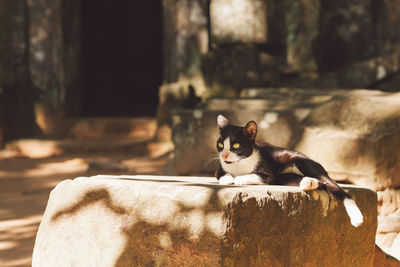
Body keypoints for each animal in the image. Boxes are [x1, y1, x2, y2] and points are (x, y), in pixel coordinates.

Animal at [214, 115, 364, 228]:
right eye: (220, 144)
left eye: (236, 145)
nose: (224, 155)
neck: (238, 165)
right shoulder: (220, 169)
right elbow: (221, 174)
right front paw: (228, 179)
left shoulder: (269, 175)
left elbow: (255, 176)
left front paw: (238, 178)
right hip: (286, 177)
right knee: (321, 183)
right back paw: (308, 183)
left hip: (302, 162)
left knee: (334, 186)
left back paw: (356, 217)